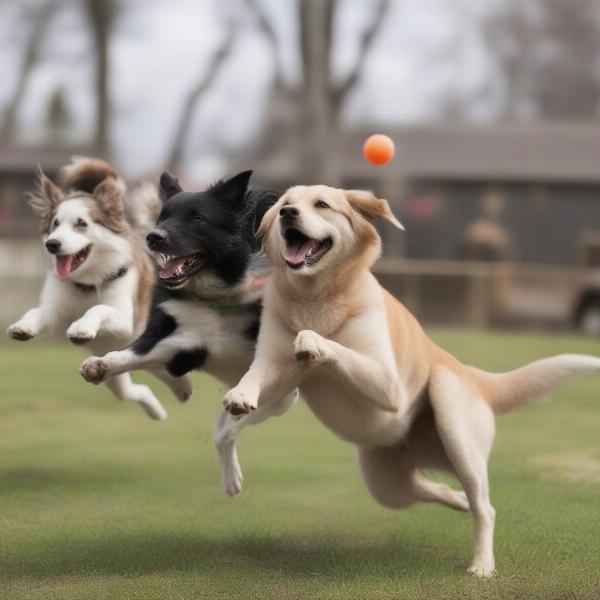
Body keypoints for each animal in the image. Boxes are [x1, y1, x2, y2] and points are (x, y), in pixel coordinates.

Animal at [6, 159, 190, 420]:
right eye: (55, 224)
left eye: (81, 223)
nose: (52, 244)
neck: (87, 284)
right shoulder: (56, 309)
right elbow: (38, 312)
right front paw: (23, 326)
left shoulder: (125, 320)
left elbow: (99, 308)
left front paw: (81, 328)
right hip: (111, 369)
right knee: (133, 388)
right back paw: (166, 402)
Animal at [81, 170, 298, 496]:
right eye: (163, 217)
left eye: (197, 218)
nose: (154, 237)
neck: (213, 299)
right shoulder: (180, 345)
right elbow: (130, 353)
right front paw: (99, 365)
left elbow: (251, 384)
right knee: (222, 427)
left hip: (283, 399)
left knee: (226, 430)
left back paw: (231, 472)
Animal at [224, 184, 600, 576]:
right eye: (285, 205)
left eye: (322, 205)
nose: (287, 215)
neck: (315, 295)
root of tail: (472, 375)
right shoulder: (273, 364)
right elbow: (255, 375)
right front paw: (239, 396)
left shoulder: (387, 383)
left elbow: (326, 344)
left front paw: (311, 342)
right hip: (385, 482)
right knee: (431, 488)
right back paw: (456, 499)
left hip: (453, 422)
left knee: (485, 507)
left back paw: (482, 564)